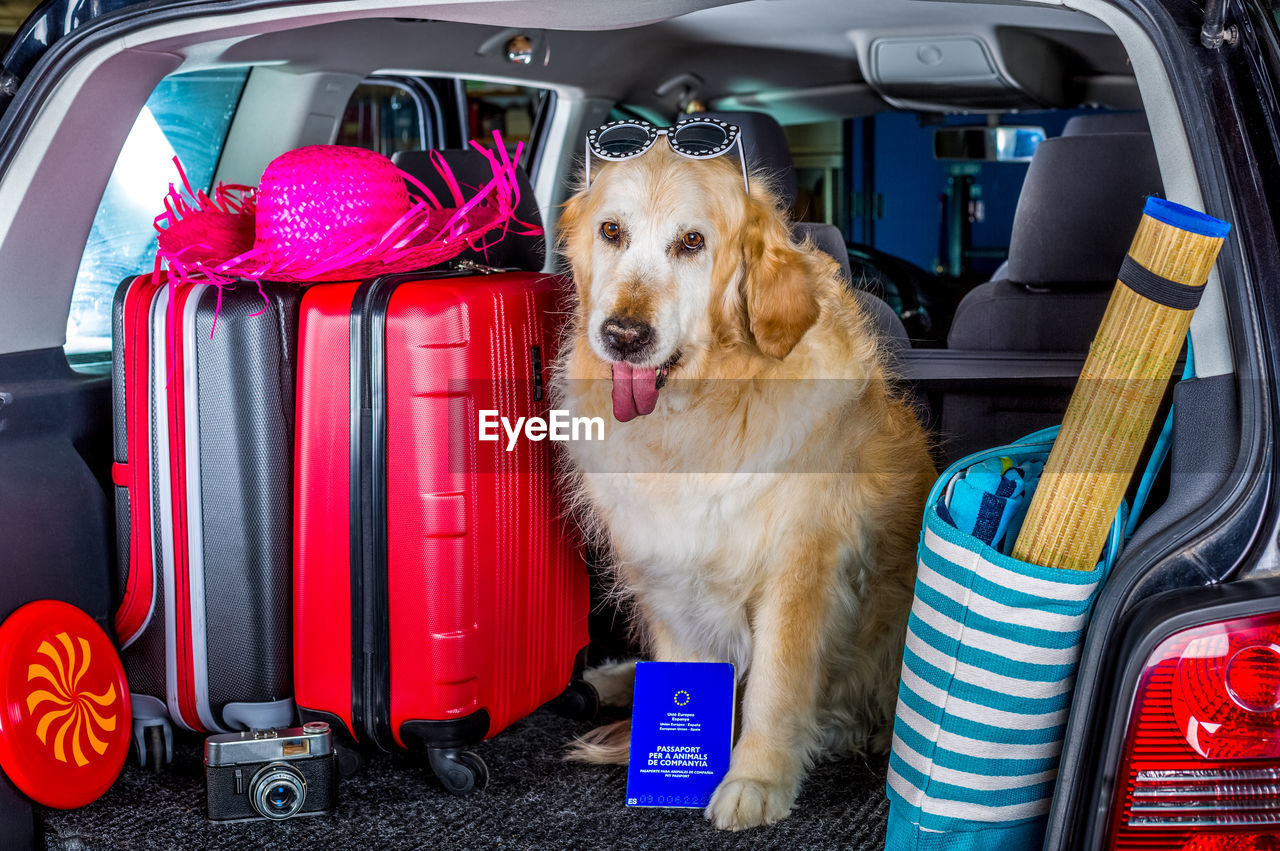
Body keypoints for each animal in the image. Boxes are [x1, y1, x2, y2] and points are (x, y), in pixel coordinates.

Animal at [550, 140, 931, 829]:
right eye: (611, 231)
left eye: (692, 242)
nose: (623, 335)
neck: (698, 415)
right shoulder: (668, 573)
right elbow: (683, 666)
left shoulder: (800, 569)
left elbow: (774, 689)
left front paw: (755, 779)